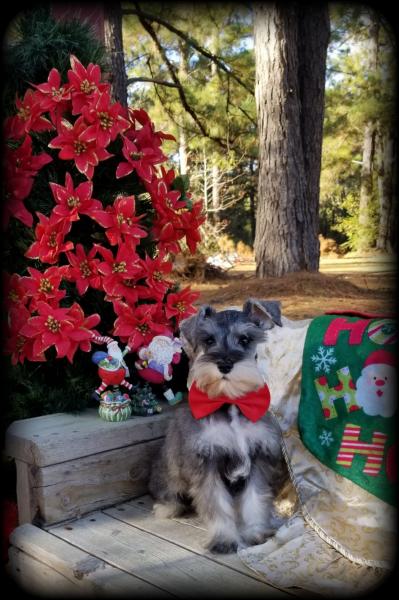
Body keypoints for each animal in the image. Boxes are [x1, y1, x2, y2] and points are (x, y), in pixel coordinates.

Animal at [148, 298, 290, 556]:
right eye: (209, 340)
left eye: (245, 339)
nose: (224, 364)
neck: (230, 402)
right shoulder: (207, 463)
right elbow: (217, 506)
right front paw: (224, 540)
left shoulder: (257, 459)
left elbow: (255, 499)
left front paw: (256, 532)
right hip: (170, 475)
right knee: (170, 496)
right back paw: (166, 508)